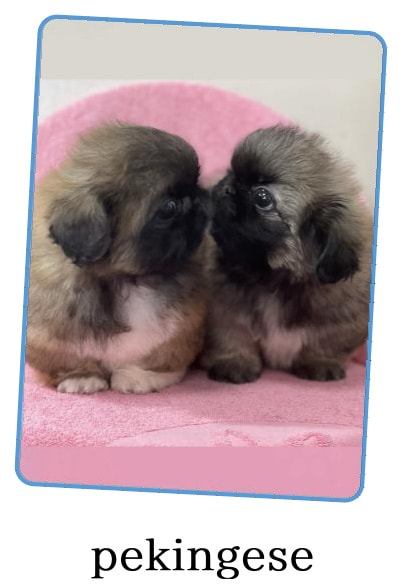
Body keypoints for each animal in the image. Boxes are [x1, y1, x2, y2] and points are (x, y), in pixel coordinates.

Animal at [26, 122, 211, 394]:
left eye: (196, 183)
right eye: (168, 208)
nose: (199, 198)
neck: (125, 280)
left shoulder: (183, 327)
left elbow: (159, 356)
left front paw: (141, 377)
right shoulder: (48, 337)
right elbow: (71, 360)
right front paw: (82, 378)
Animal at [200, 125, 373, 383]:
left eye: (262, 198)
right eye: (230, 172)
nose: (226, 186)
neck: (274, 282)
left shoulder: (344, 319)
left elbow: (326, 342)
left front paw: (319, 363)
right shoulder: (225, 310)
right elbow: (232, 335)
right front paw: (235, 362)